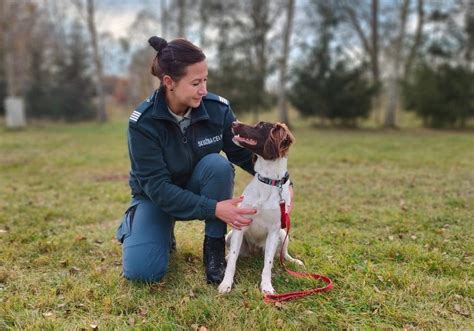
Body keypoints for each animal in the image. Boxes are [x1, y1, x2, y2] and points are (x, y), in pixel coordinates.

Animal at [218, 120, 304, 296]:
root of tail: (254, 251)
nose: (234, 122)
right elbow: (232, 262)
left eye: (261, 126)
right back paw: (228, 257)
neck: (269, 180)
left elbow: (268, 264)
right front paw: (226, 284)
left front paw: (267, 287)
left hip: (283, 234)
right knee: (235, 254)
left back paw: (294, 261)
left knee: (283, 254)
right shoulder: (240, 224)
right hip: (230, 236)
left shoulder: (274, 230)